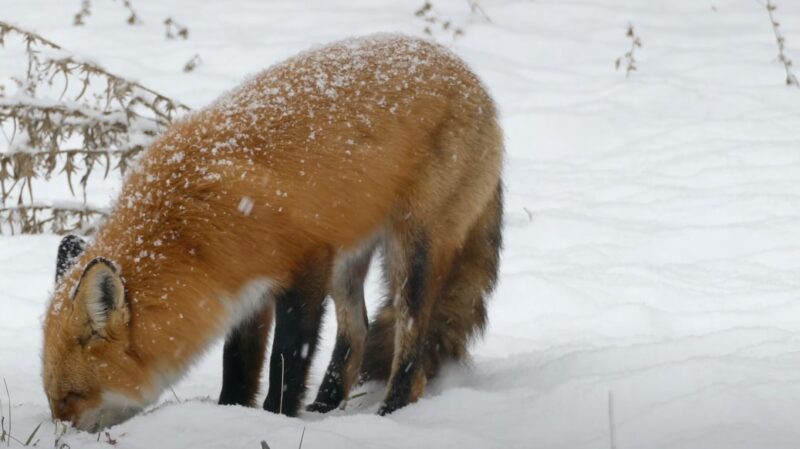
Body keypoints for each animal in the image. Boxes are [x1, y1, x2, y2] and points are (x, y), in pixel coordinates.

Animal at [42, 33, 500, 428]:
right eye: (51, 399)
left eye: (70, 397)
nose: (58, 436)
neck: (188, 231)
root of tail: (472, 77)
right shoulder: (245, 291)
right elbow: (239, 365)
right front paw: (232, 414)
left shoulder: (307, 265)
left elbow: (288, 358)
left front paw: (277, 418)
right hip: (348, 260)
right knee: (359, 330)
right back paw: (325, 406)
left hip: (411, 252)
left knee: (411, 343)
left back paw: (390, 410)